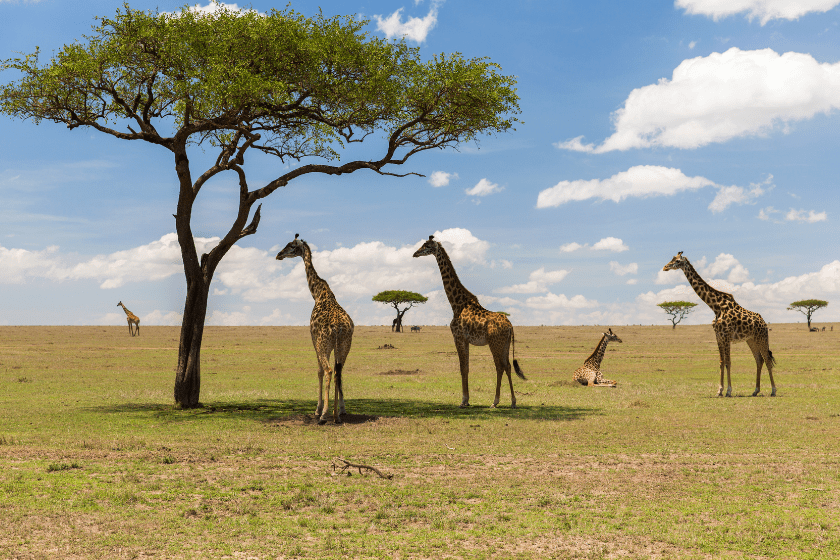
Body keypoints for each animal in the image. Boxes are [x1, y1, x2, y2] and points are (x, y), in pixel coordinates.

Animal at [276, 233, 354, 424]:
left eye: (291, 246)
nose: (278, 255)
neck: (317, 293)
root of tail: (338, 327)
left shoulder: (314, 340)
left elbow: (318, 372)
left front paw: (318, 410)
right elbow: (335, 373)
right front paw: (341, 409)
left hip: (323, 344)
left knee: (328, 370)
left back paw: (325, 415)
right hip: (344, 345)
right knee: (338, 372)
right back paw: (337, 414)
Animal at [414, 234, 524, 410]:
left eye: (427, 246)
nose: (415, 253)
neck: (456, 303)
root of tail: (510, 326)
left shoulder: (458, 337)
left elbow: (462, 368)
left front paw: (463, 401)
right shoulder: (465, 340)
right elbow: (466, 367)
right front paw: (467, 400)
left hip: (495, 343)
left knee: (499, 366)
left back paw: (495, 401)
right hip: (505, 343)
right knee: (507, 366)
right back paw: (513, 402)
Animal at [664, 252, 776, 396]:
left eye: (677, 261)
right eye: (672, 259)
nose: (665, 267)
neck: (715, 307)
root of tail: (764, 323)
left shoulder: (726, 336)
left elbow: (728, 362)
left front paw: (728, 390)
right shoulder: (718, 337)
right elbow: (722, 362)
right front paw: (719, 390)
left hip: (762, 337)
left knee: (767, 359)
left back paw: (773, 390)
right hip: (751, 340)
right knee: (759, 360)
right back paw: (755, 390)